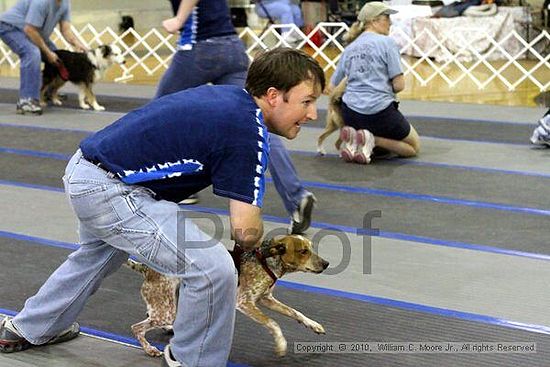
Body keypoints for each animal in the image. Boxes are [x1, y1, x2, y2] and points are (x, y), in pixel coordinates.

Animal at [127, 234, 330, 358]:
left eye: (311, 248)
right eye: (303, 251)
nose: (326, 263)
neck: (266, 262)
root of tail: (146, 269)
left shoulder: (266, 299)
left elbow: (295, 312)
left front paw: (313, 325)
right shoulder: (245, 303)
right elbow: (273, 323)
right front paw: (281, 345)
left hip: (168, 304)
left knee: (150, 316)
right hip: (166, 310)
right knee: (137, 327)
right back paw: (150, 349)